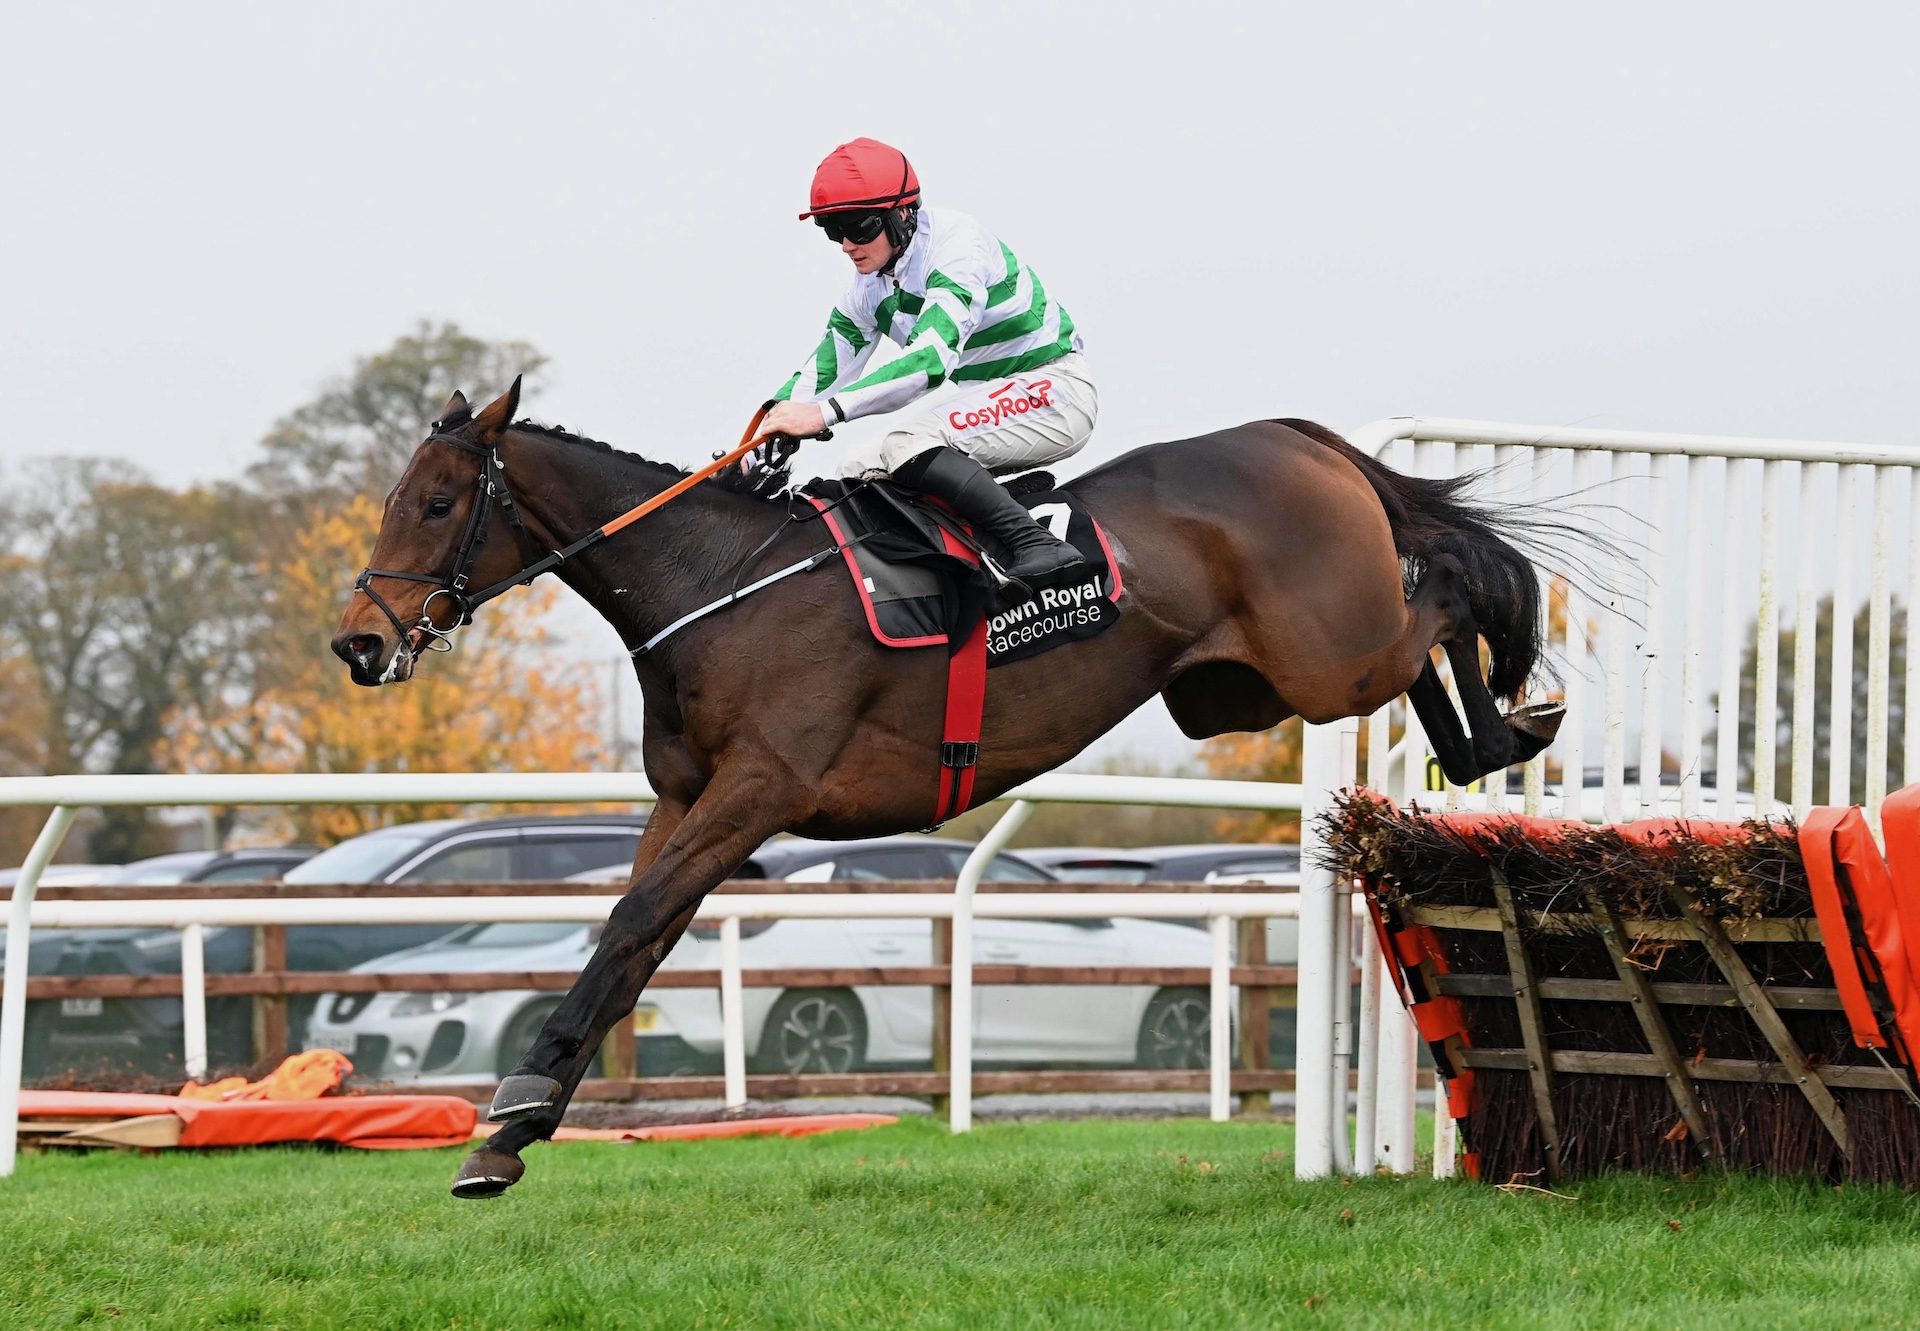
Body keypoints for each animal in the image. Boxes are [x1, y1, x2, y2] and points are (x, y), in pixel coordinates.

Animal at [330, 376, 1559, 1190]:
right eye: (395, 500)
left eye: (437, 505)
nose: (358, 643)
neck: (715, 583)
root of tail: (1296, 436)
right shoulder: (685, 801)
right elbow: (631, 940)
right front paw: (511, 1130)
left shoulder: (761, 789)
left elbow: (632, 920)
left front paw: (510, 1113)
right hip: (1236, 691)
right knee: (1430, 625)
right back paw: (1487, 738)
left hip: (1331, 656)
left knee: (1451, 588)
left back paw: (1512, 715)